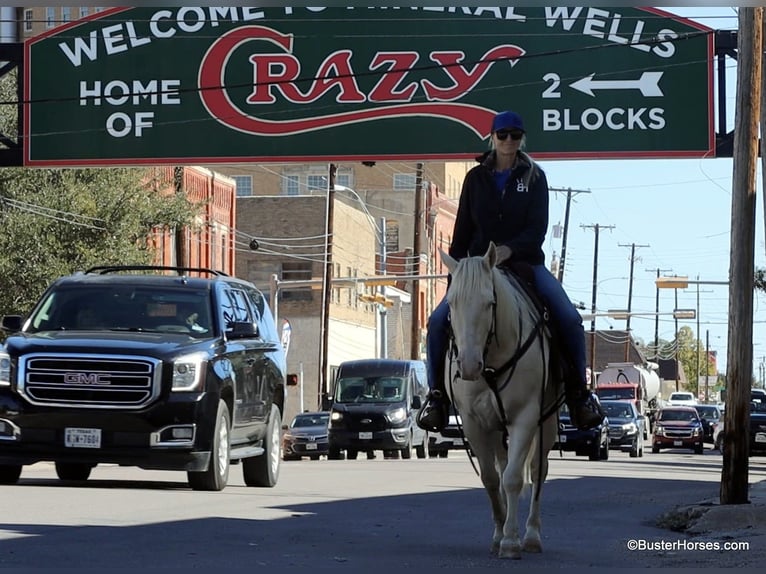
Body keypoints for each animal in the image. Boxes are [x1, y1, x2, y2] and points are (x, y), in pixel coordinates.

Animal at [440, 244, 560, 564]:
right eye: (451, 303)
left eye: (489, 303)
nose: (469, 366)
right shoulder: (474, 422)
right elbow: (492, 479)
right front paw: (499, 534)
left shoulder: (525, 417)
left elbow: (514, 479)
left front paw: (511, 541)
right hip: (497, 429)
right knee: (504, 466)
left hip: (547, 422)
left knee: (538, 471)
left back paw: (530, 535)